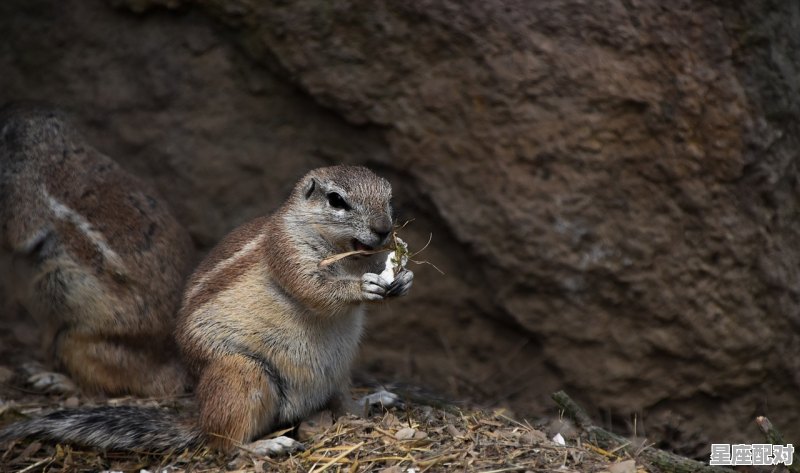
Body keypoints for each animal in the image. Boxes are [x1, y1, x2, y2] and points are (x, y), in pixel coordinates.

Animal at [0, 165, 412, 454]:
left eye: (390, 198)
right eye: (336, 200)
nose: (384, 229)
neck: (348, 257)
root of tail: (199, 417)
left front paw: (403, 278)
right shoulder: (286, 251)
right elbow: (314, 288)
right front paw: (363, 287)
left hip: (338, 372)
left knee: (345, 406)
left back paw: (372, 401)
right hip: (241, 374)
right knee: (224, 444)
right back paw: (266, 444)